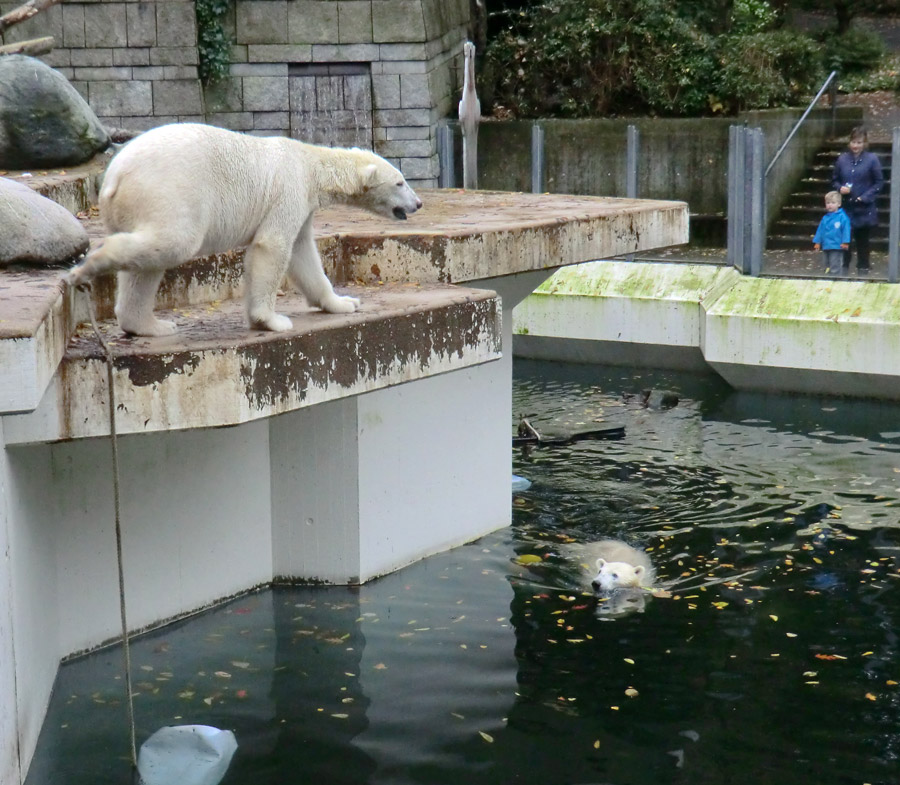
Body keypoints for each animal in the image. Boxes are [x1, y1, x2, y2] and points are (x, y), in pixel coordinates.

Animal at [65, 121, 424, 334]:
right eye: (400, 182)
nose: (418, 203)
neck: (310, 163)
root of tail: (114, 177)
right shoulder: (288, 190)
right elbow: (273, 246)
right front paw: (271, 320)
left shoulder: (302, 205)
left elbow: (303, 255)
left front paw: (345, 302)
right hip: (169, 192)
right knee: (174, 242)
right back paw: (91, 262)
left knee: (146, 268)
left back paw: (150, 325)